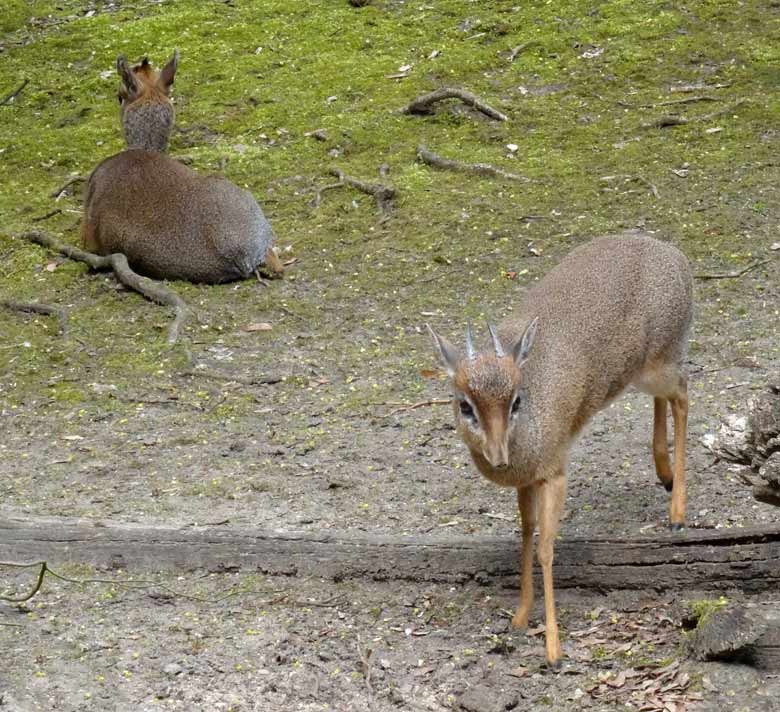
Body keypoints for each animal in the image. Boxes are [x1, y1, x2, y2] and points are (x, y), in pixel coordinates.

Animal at [430, 234, 692, 668]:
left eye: (516, 400)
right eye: (465, 405)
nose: (498, 455)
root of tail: (673, 253)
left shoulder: (554, 473)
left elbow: (546, 549)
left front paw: (553, 648)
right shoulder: (526, 480)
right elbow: (525, 533)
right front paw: (520, 615)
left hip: (660, 365)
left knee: (684, 394)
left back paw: (677, 513)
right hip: (641, 375)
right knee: (666, 400)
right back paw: (664, 475)